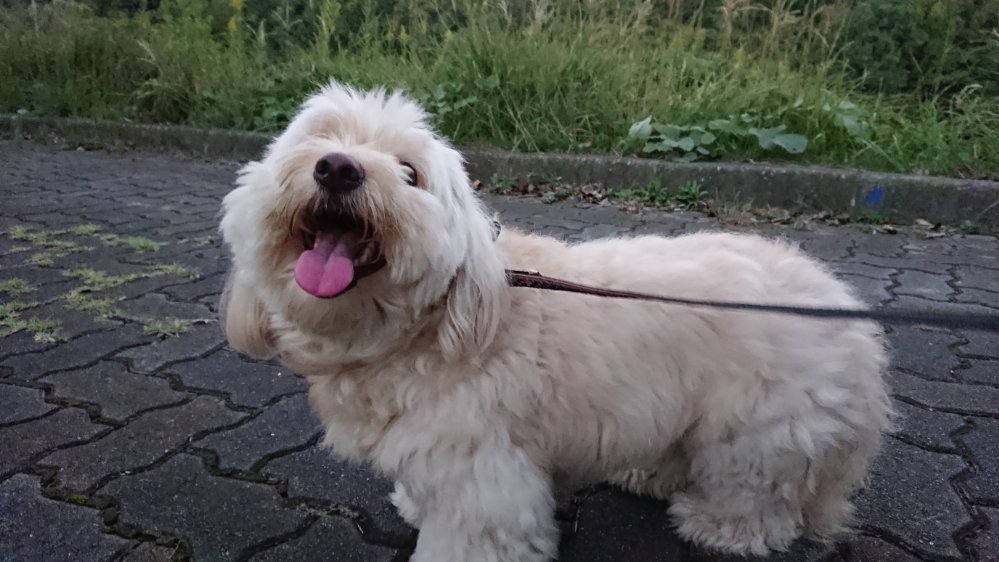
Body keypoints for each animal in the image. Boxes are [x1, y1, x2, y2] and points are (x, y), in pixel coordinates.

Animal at [218, 81, 893, 561]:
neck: (429, 329)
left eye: (410, 173)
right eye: (317, 139)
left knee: (762, 500)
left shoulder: (483, 475)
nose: (338, 168)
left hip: (758, 430)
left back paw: (717, 526)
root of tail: (847, 311)